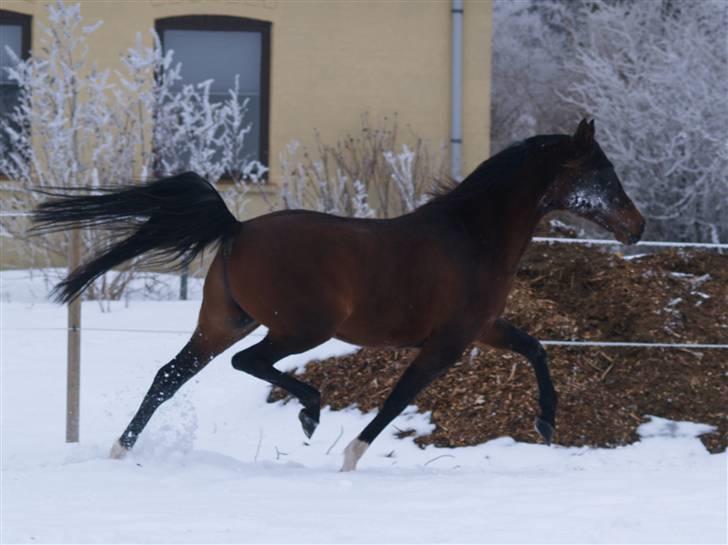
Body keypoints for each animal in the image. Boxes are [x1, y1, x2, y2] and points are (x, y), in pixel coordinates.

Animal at [32, 119, 644, 468]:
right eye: (605, 175)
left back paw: (121, 450)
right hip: (300, 327)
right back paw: (309, 412)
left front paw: (547, 424)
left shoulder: (483, 330)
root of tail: (237, 229)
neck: (472, 235)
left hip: (223, 321)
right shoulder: (447, 343)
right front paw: (350, 459)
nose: (636, 227)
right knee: (246, 363)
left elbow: (536, 349)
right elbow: (397, 400)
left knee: (170, 375)